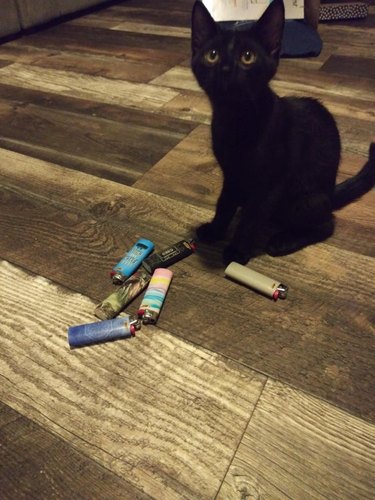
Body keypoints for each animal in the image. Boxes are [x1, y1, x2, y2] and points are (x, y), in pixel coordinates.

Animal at [192, 0, 374, 266]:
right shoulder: (232, 174)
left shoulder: (270, 184)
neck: (236, 120)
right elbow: (224, 202)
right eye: (212, 55)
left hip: (304, 199)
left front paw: (237, 251)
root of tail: (330, 193)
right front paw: (216, 230)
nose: (225, 69)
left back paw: (283, 240)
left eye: (248, 57)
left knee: (327, 224)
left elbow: (252, 218)